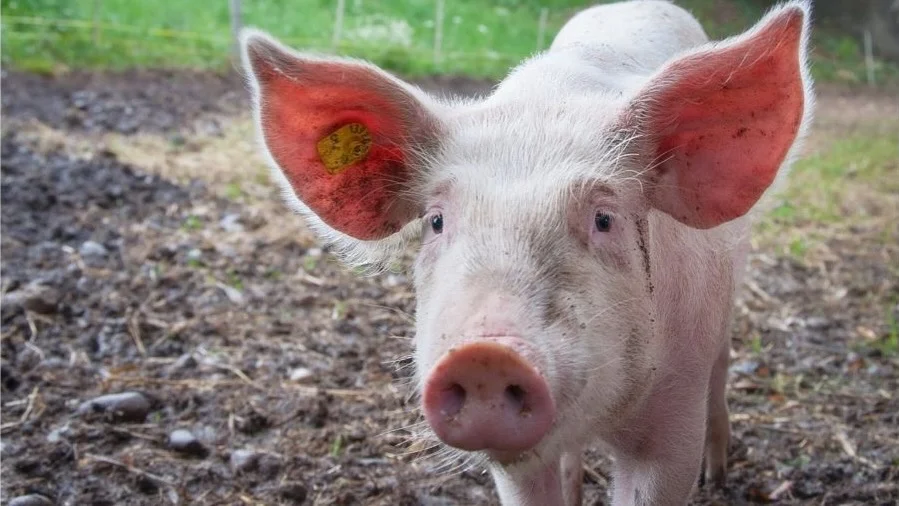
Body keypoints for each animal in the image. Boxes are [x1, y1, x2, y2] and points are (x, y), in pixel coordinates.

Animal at [239, 0, 814, 504]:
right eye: (436, 221)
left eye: (604, 219)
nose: (485, 355)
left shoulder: (673, 423)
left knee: (722, 369)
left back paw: (717, 478)